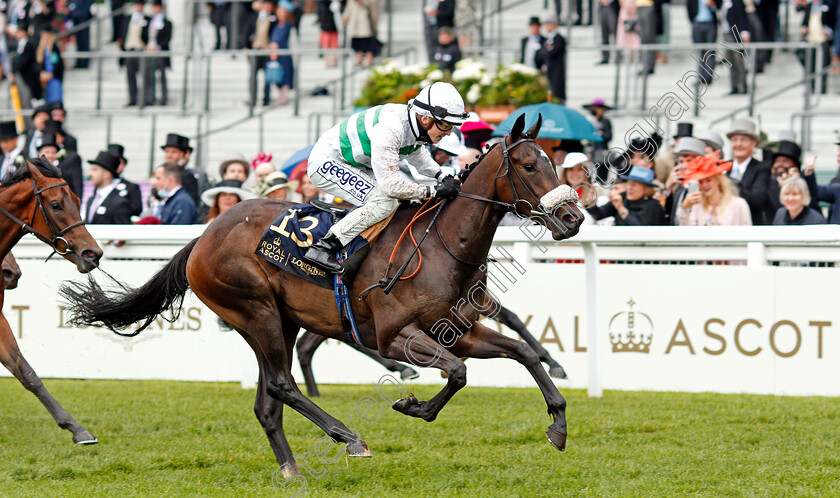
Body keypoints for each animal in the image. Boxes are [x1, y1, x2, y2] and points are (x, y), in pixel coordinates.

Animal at [62, 115, 584, 476]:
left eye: (555, 162)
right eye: (529, 164)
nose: (573, 217)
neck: (441, 246)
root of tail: (204, 236)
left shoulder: (459, 331)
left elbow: (520, 353)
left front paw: (558, 425)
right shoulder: (395, 336)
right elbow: (457, 373)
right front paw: (412, 406)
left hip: (281, 320)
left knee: (268, 399)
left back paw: (291, 467)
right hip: (255, 311)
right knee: (282, 385)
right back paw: (348, 437)